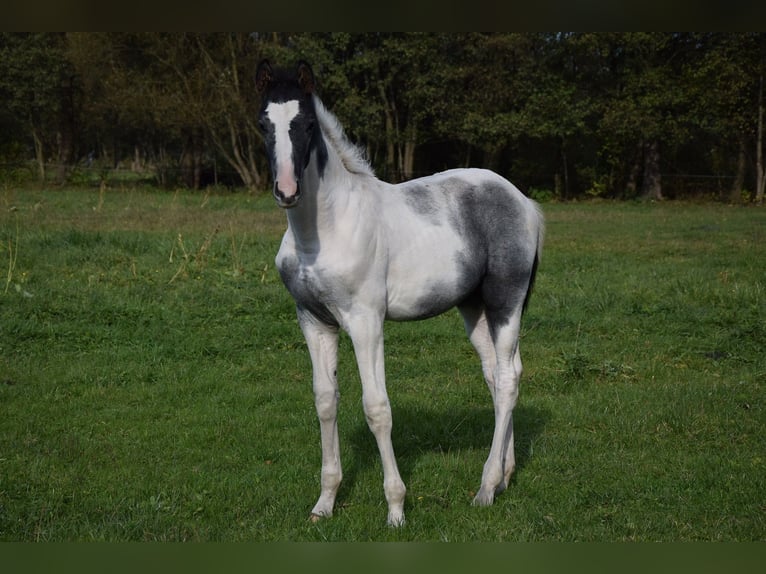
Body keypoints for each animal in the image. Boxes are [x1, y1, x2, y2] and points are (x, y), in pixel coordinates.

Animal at [258, 62, 544, 528]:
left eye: (306, 124)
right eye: (264, 124)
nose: (287, 191)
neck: (324, 230)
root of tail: (523, 201)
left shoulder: (365, 320)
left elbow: (377, 408)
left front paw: (396, 508)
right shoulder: (314, 320)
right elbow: (325, 401)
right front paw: (324, 503)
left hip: (506, 301)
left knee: (507, 378)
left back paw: (485, 489)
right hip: (474, 308)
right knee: (499, 374)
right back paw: (504, 476)